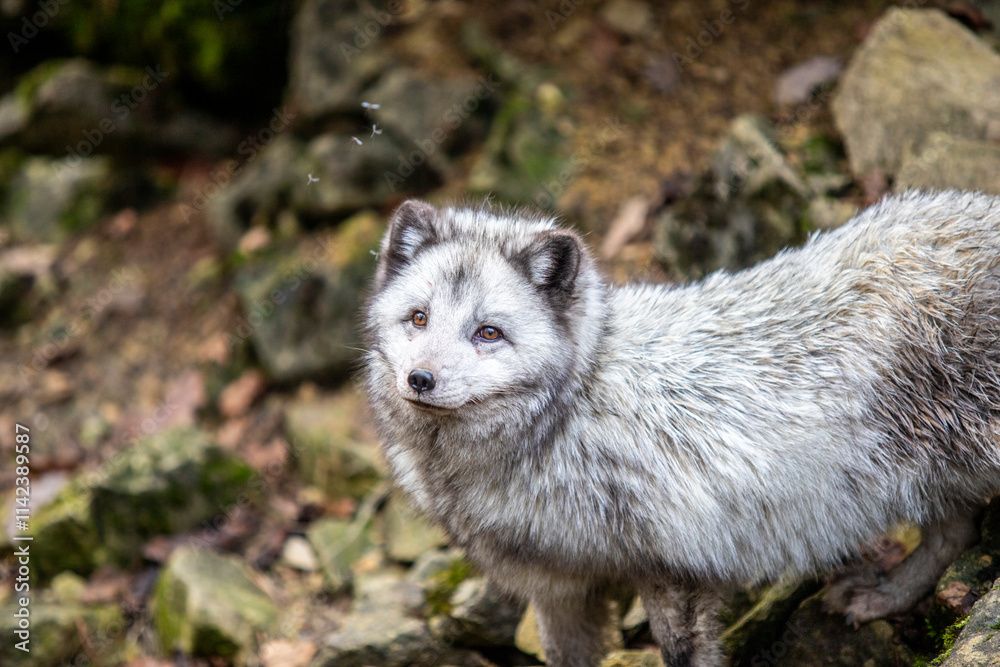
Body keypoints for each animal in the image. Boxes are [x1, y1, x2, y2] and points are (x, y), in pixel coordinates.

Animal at [363, 190, 1000, 666]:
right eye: (418, 318)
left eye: (488, 333)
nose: (420, 379)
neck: (571, 413)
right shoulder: (558, 589)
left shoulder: (675, 570)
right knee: (956, 531)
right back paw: (886, 597)